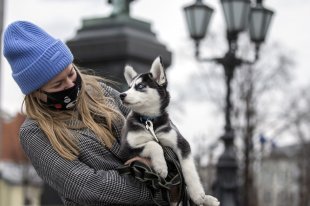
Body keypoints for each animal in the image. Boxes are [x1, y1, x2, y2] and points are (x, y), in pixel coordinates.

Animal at [120, 56, 219, 206]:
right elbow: (154, 145)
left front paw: (197, 193)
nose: (122, 95)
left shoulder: (181, 143)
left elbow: (189, 168)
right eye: (129, 87)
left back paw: (208, 199)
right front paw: (161, 166)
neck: (150, 122)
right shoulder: (126, 149)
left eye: (140, 86)